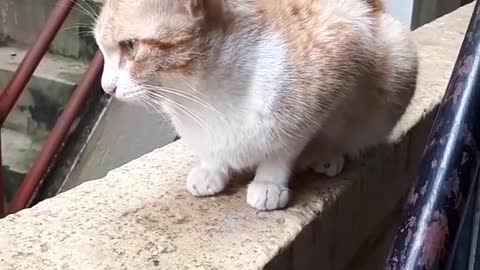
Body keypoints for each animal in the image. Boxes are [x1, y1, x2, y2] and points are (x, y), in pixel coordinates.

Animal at [94, 0, 416, 211]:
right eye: (102, 51)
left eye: (130, 46)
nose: (106, 87)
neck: (201, 95)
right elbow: (214, 152)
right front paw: (212, 169)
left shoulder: (337, 57)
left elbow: (284, 149)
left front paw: (270, 183)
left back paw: (326, 155)